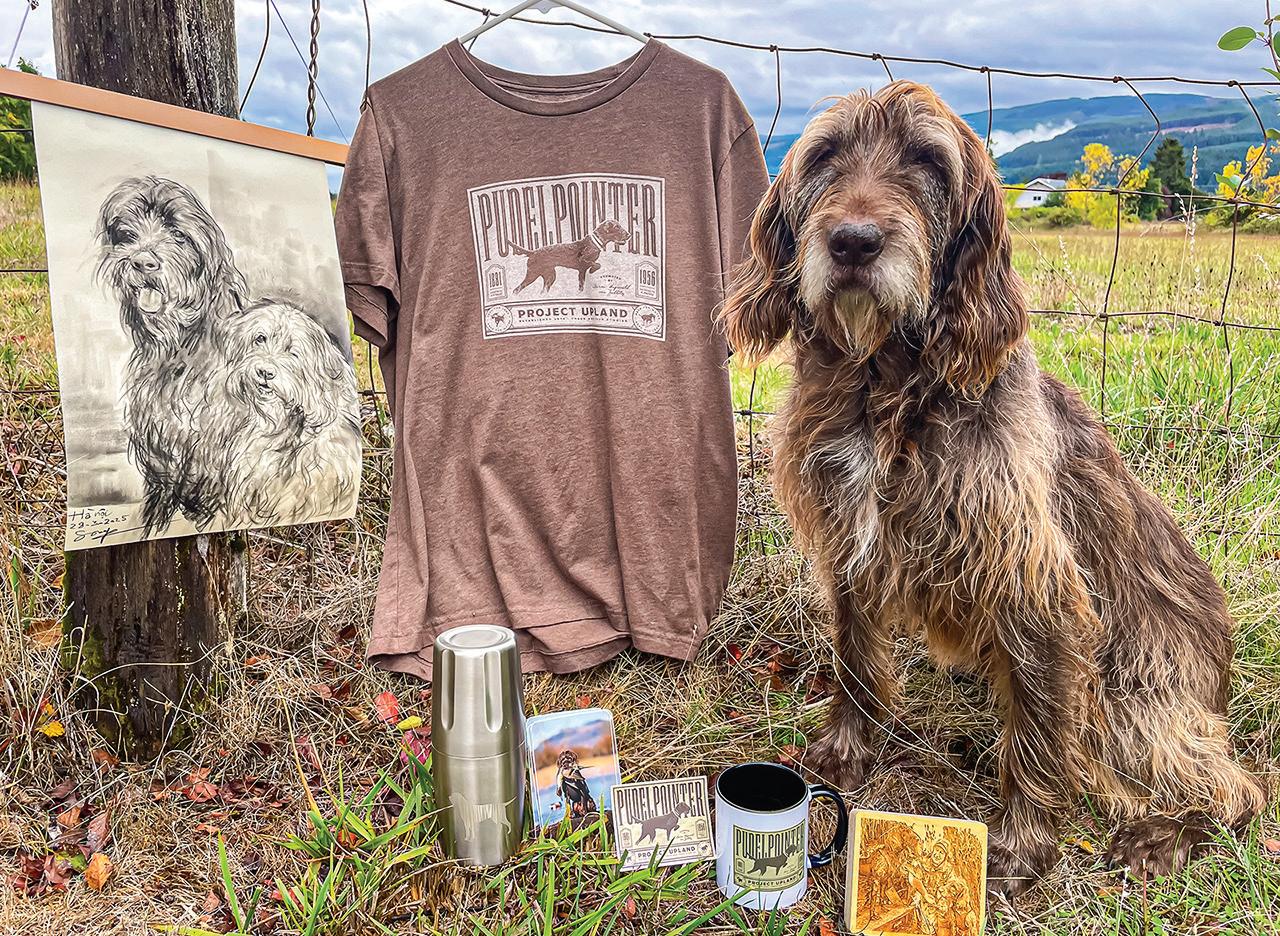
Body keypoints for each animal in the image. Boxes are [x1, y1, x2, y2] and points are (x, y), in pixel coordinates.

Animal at [719, 81, 1266, 898]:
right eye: (824, 156)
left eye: (927, 161)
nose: (853, 242)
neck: (886, 386)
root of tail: (1222, 664)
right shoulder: (852, 546)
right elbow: (856, 658)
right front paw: (848, 750)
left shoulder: (1036, 585)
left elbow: (1037, 735)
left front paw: (1018, 846)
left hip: (1130, 698)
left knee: (1237, 785)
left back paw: (1167, 833)